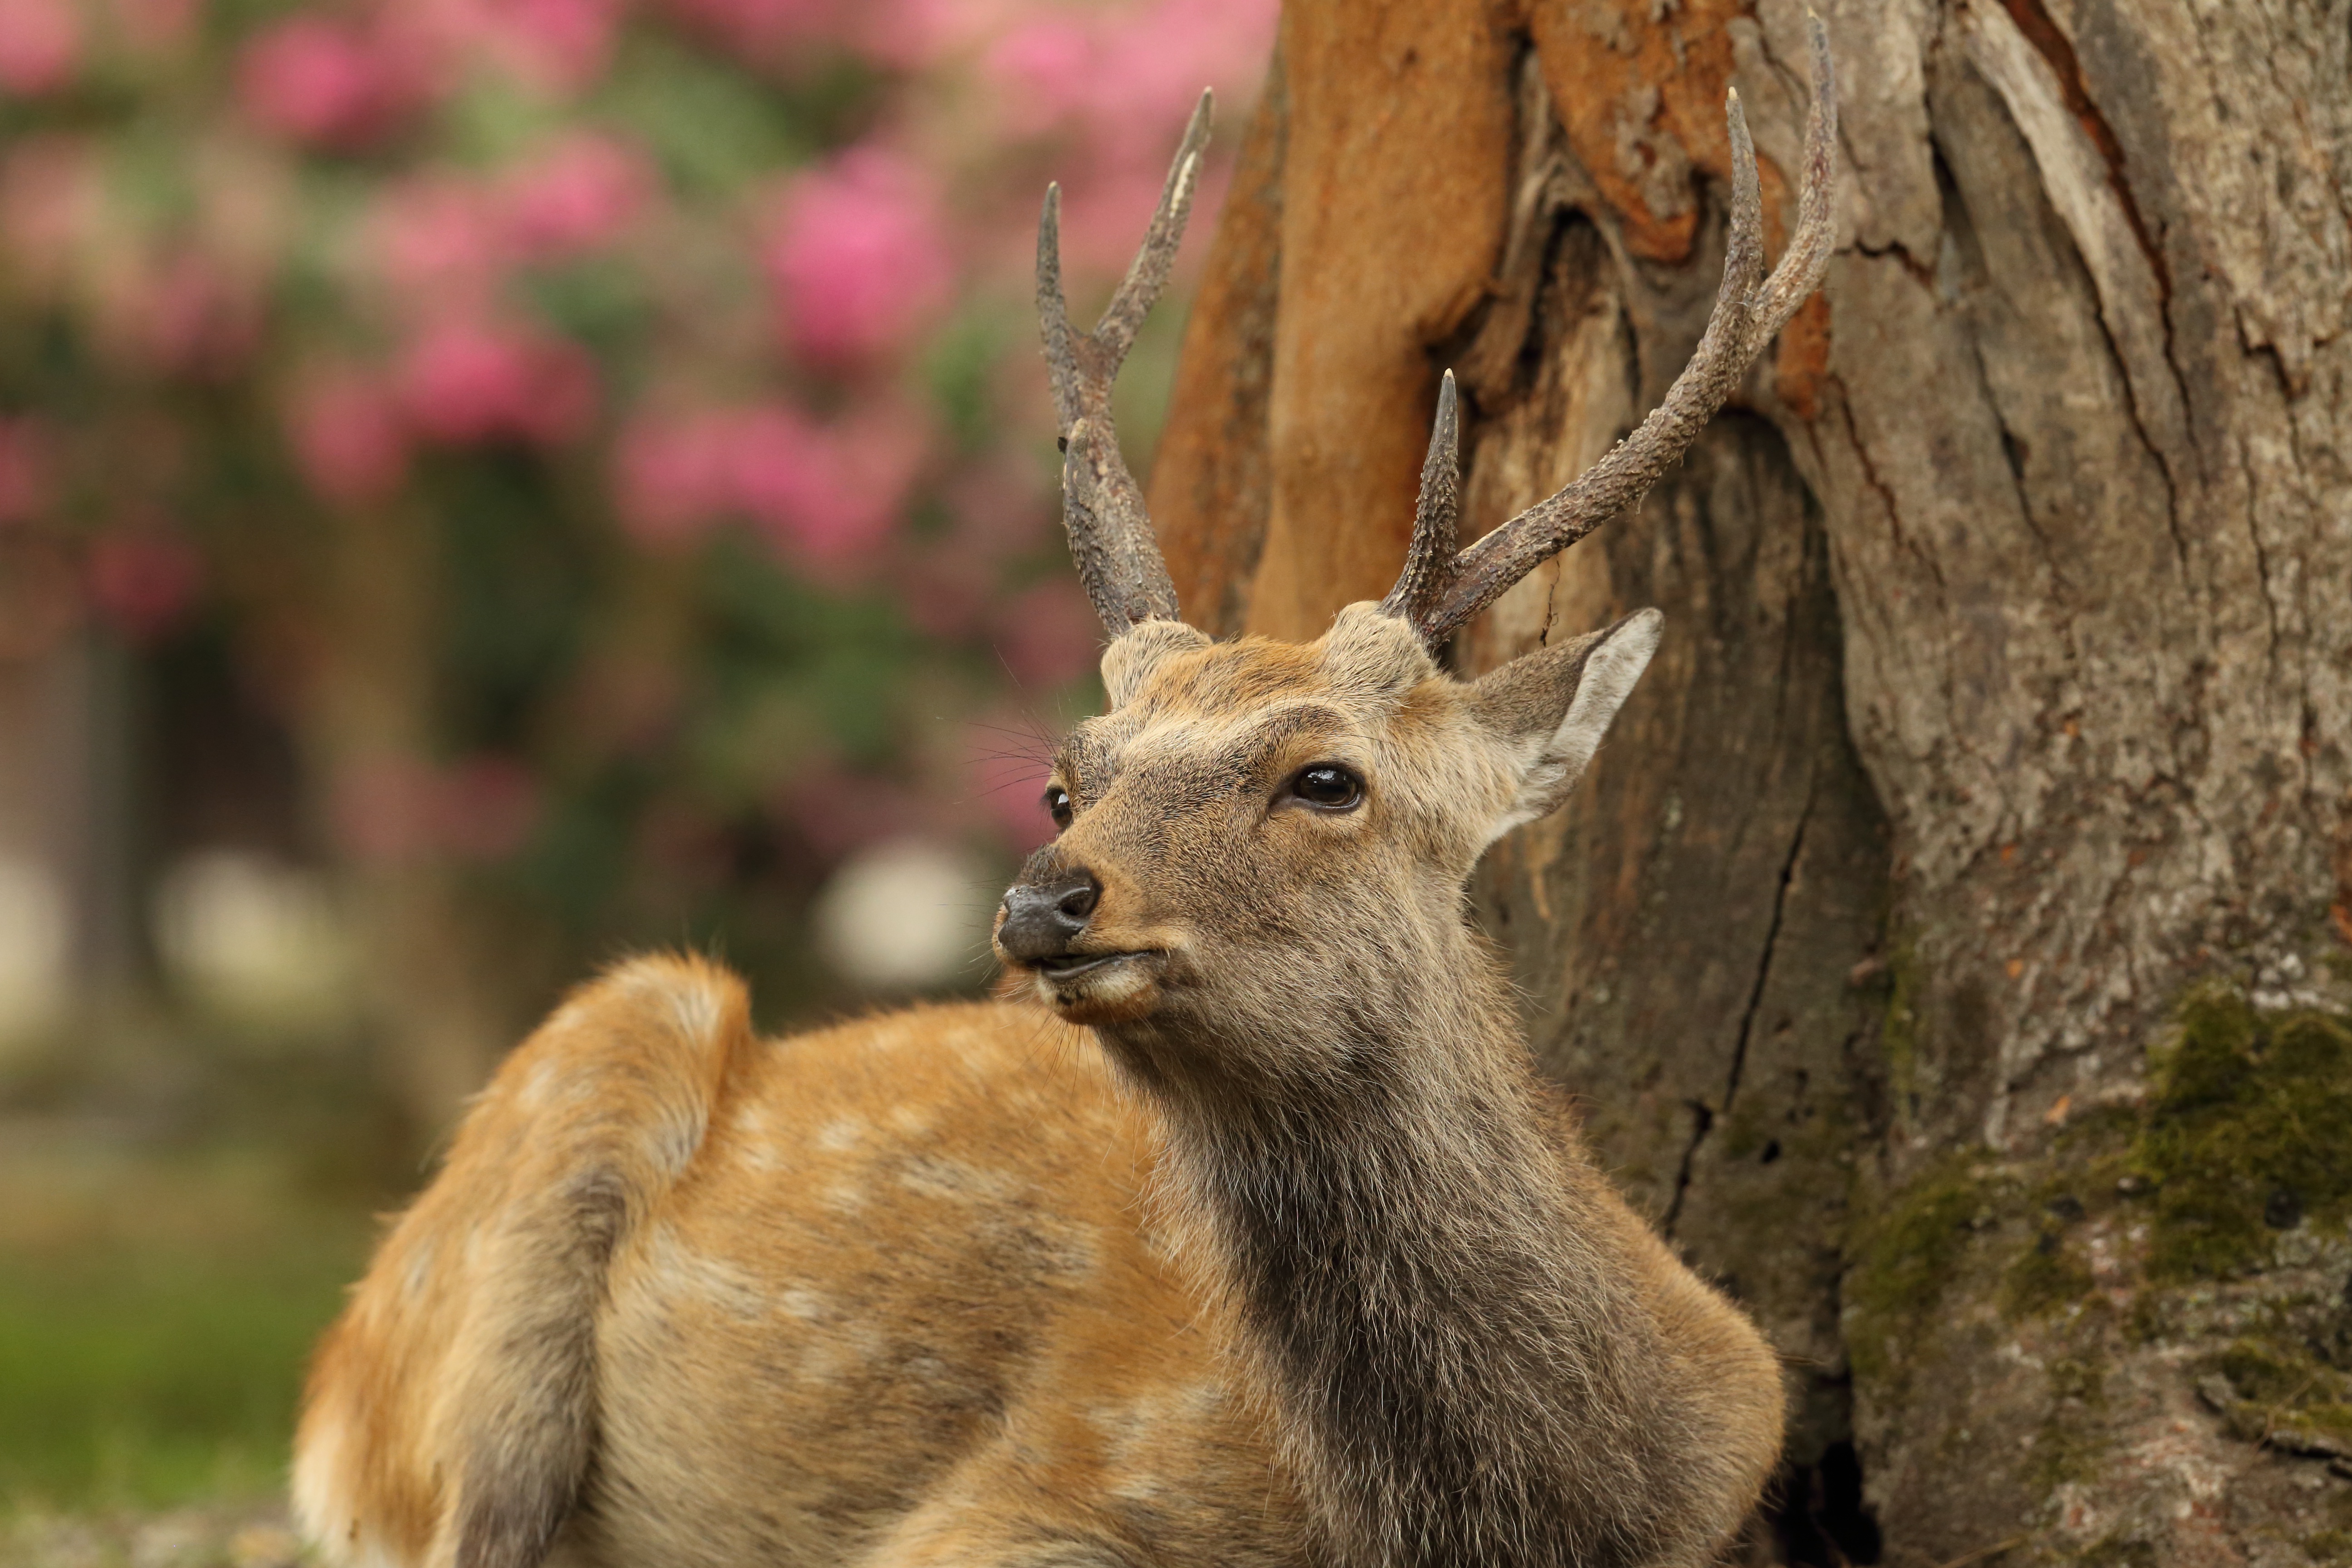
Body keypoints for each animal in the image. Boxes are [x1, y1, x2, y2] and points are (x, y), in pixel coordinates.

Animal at [289, 21, 1834, 1568]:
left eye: (1328, 778)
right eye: (1062, 783)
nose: (1046, 904)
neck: (1525, 1508)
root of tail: (325, 1388)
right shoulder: (1020, 1491)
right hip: (515, 1230)